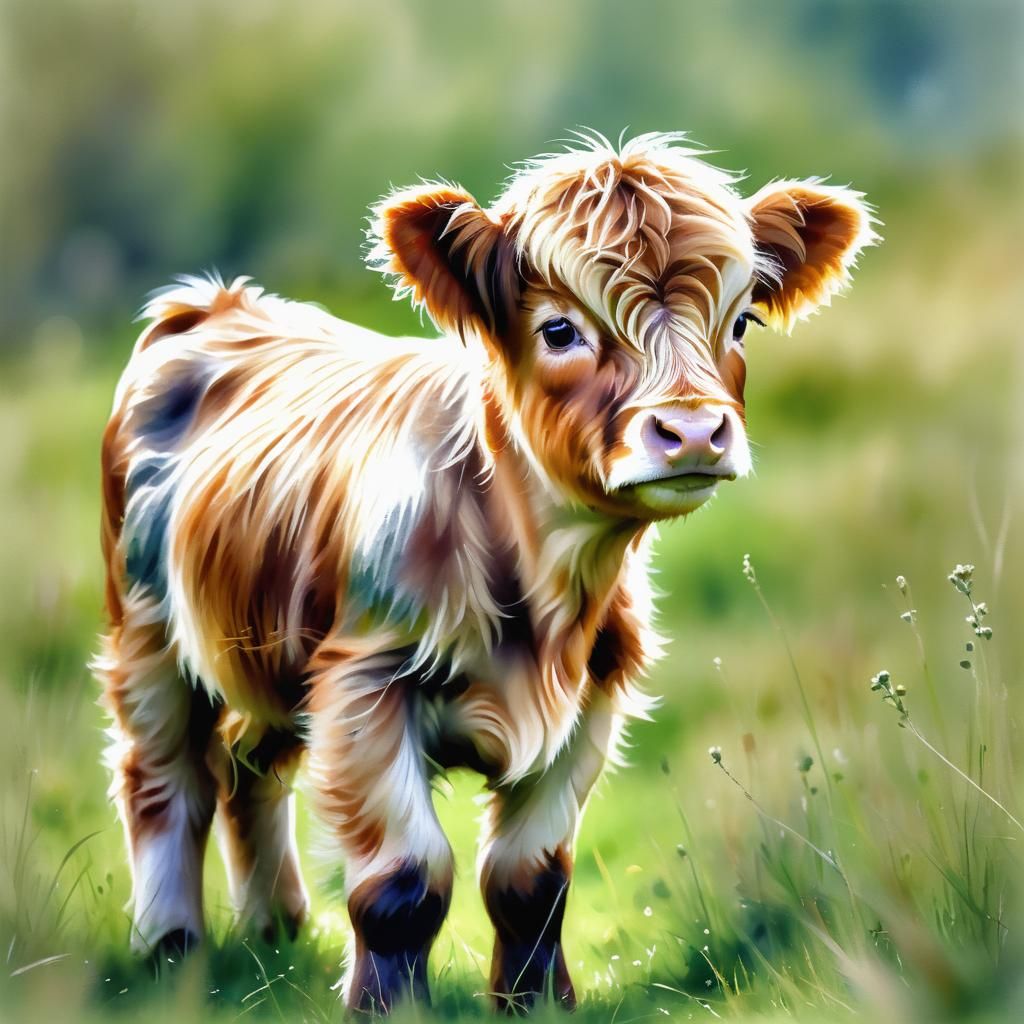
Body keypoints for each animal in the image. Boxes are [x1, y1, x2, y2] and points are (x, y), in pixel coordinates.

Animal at [93, 132, 876, 1013]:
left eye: (741, 320)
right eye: (560, 330)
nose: (694, 432)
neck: (542, 590)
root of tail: (214, 304)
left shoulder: (592, 698)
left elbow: (530, 879)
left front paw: (537, 1004)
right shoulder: (364, 687)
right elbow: (403, 880)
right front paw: (387, 1010)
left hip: (261, 646)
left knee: (245, 771)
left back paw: (277, 933)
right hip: (148, 634)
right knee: (163, 778)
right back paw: (169, 946)